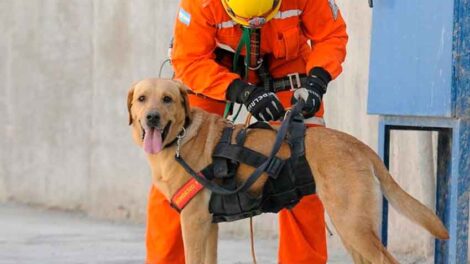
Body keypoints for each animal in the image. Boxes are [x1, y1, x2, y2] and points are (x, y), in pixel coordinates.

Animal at [126, 78, 450, 264]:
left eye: (167, 99)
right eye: (142, 99)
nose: (152, 117)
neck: (181, 137)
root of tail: (358, 145)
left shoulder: (193, 224)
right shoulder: (209, 226)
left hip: (353, 226)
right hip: (351, 229)